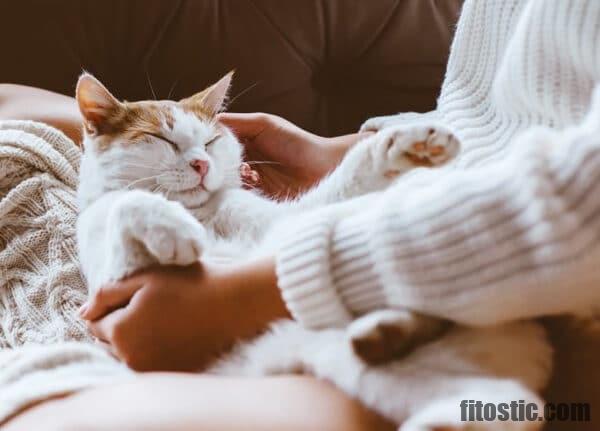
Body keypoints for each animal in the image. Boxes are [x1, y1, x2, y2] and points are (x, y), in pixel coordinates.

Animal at [76, 72, 552, 430]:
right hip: (361, 369)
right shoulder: (113, 279)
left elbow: (344, 181)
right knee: (506, 402)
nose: (201, 163)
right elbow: (127, 204)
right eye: (162, 139)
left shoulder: (289, 224)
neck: (205, 214)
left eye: (210, 142)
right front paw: (171, 226)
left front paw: (402, 143)